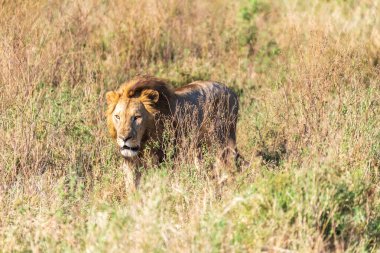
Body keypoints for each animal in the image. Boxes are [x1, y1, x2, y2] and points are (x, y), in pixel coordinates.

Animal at [105, 76, 242, 191]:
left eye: (137, 117)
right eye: (117, 117)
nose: (124, 138)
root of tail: (231, 91)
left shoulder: (165, 158)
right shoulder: (131, 163)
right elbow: (131, 186)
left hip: (222, 143)